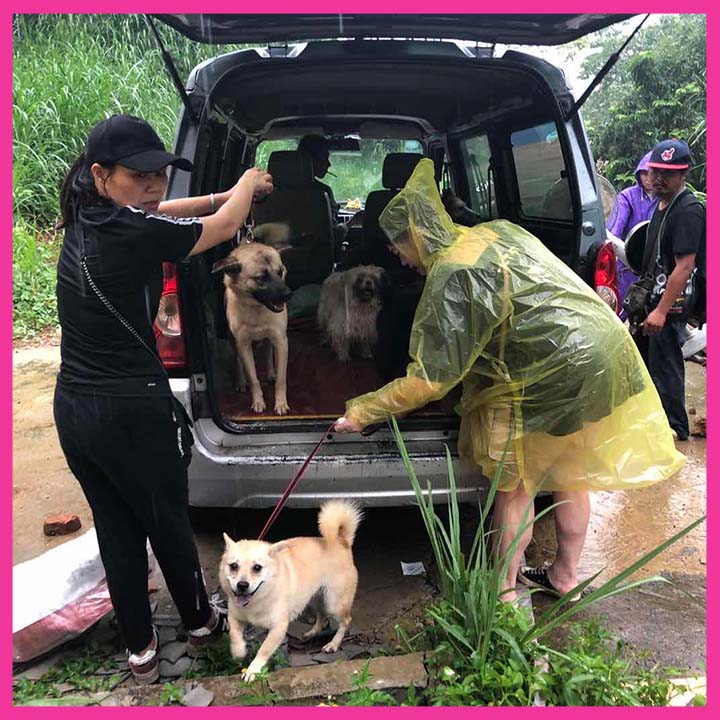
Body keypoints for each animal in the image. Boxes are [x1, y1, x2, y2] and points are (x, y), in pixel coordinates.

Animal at [212, 242, 292, 414]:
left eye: (280, 272)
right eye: (261, 278)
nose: (288, 294)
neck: (257, 308)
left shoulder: (281, 341)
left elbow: (282, 378)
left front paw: (281, 403)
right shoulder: (243, 345)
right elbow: (253, 378)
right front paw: (258, 402)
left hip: (269, 339)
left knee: (268, 354)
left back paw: (271, 374)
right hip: (233, 342)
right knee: (238, 362)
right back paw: (241, 382)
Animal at [218, 500, 360, 680]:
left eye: (257, 568)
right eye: (233, 566)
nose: (242, 585)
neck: (256, 601)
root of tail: (341, 542)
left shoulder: (278, 628)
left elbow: (263, 650)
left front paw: (253, 670)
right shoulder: (235, 617)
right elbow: (234, 636)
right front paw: (239, 651)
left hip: (333, 603)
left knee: (345, 621)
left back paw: (333, 644)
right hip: (313, 599)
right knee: (322, 616)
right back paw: (312, 632)